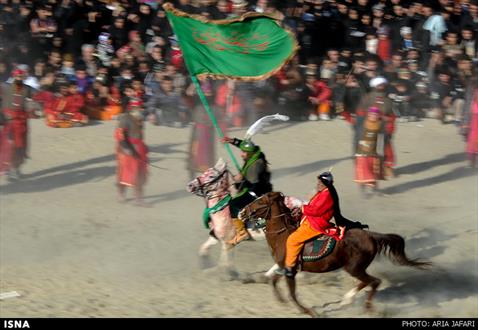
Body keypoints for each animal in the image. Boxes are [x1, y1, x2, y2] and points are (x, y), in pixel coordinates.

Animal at [241, 191, 432, 318]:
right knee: (368, 282)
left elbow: (293, 295)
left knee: (374, 282)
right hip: (355, 268)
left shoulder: (290, 271)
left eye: (260, 201)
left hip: (354, 268)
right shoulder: (285, 268)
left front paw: (310, 311)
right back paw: (347, 300)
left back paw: (366, 307)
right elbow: (274, 282)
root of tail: (371, 236)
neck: (283, 236)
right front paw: (281, 300)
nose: (242, 212)